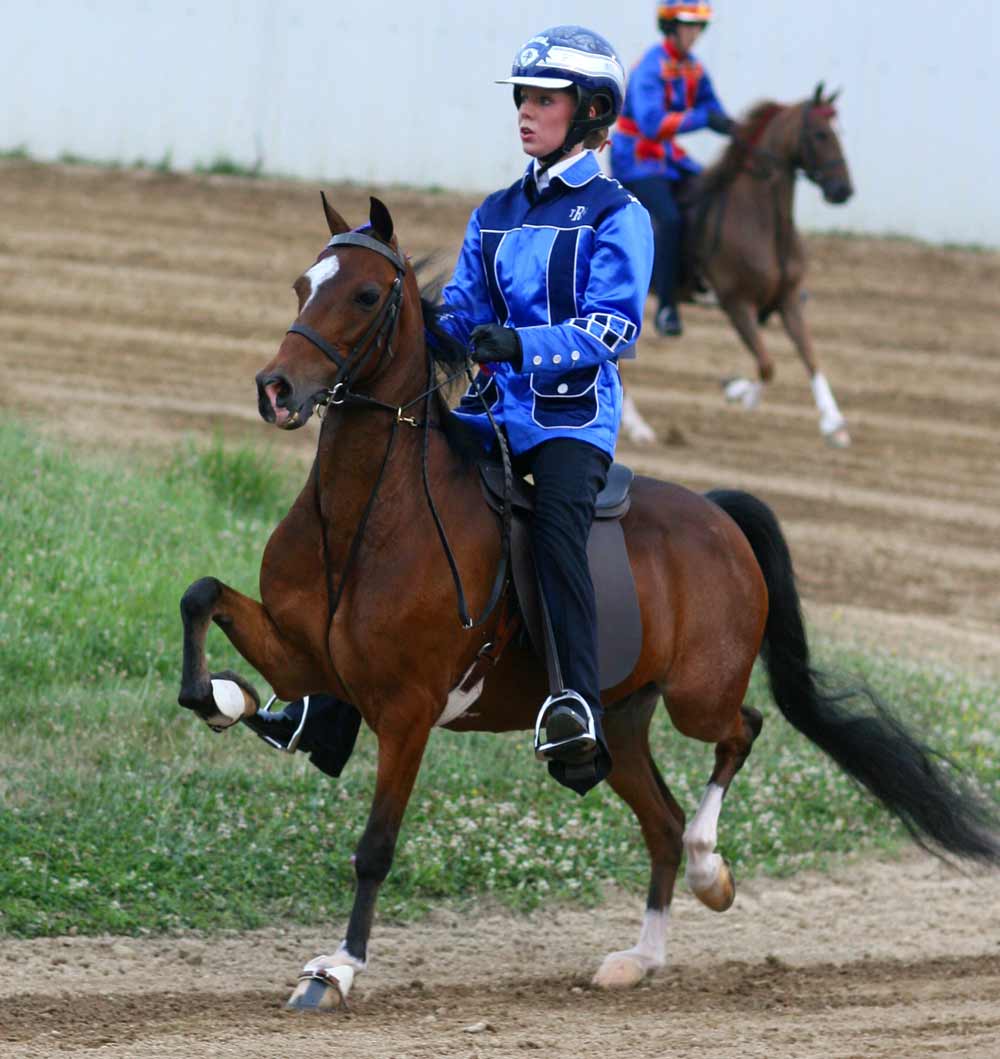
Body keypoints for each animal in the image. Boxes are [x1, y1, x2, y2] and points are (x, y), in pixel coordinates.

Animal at [175, 192, 995, 1008]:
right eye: (301, 284)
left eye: (367, 295)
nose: (276, 389)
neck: (370, 516)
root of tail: (718, 514)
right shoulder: (306, 659)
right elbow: (201, 597)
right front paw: (221, 695)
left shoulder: (408, 712)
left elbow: (375, 846)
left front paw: (337, 968)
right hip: (623, 721)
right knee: (662, 822)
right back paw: (642, 956)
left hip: (698, 696)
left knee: (741, 734)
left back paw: (710, 870)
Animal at [690, 83, 855, 446]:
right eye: (821, 134)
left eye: (841, 132)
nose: (843, 190)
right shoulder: (737, 304)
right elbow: (767, 365)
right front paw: (739, 392)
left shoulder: (789, 299)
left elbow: (811, 357)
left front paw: (833, 423)